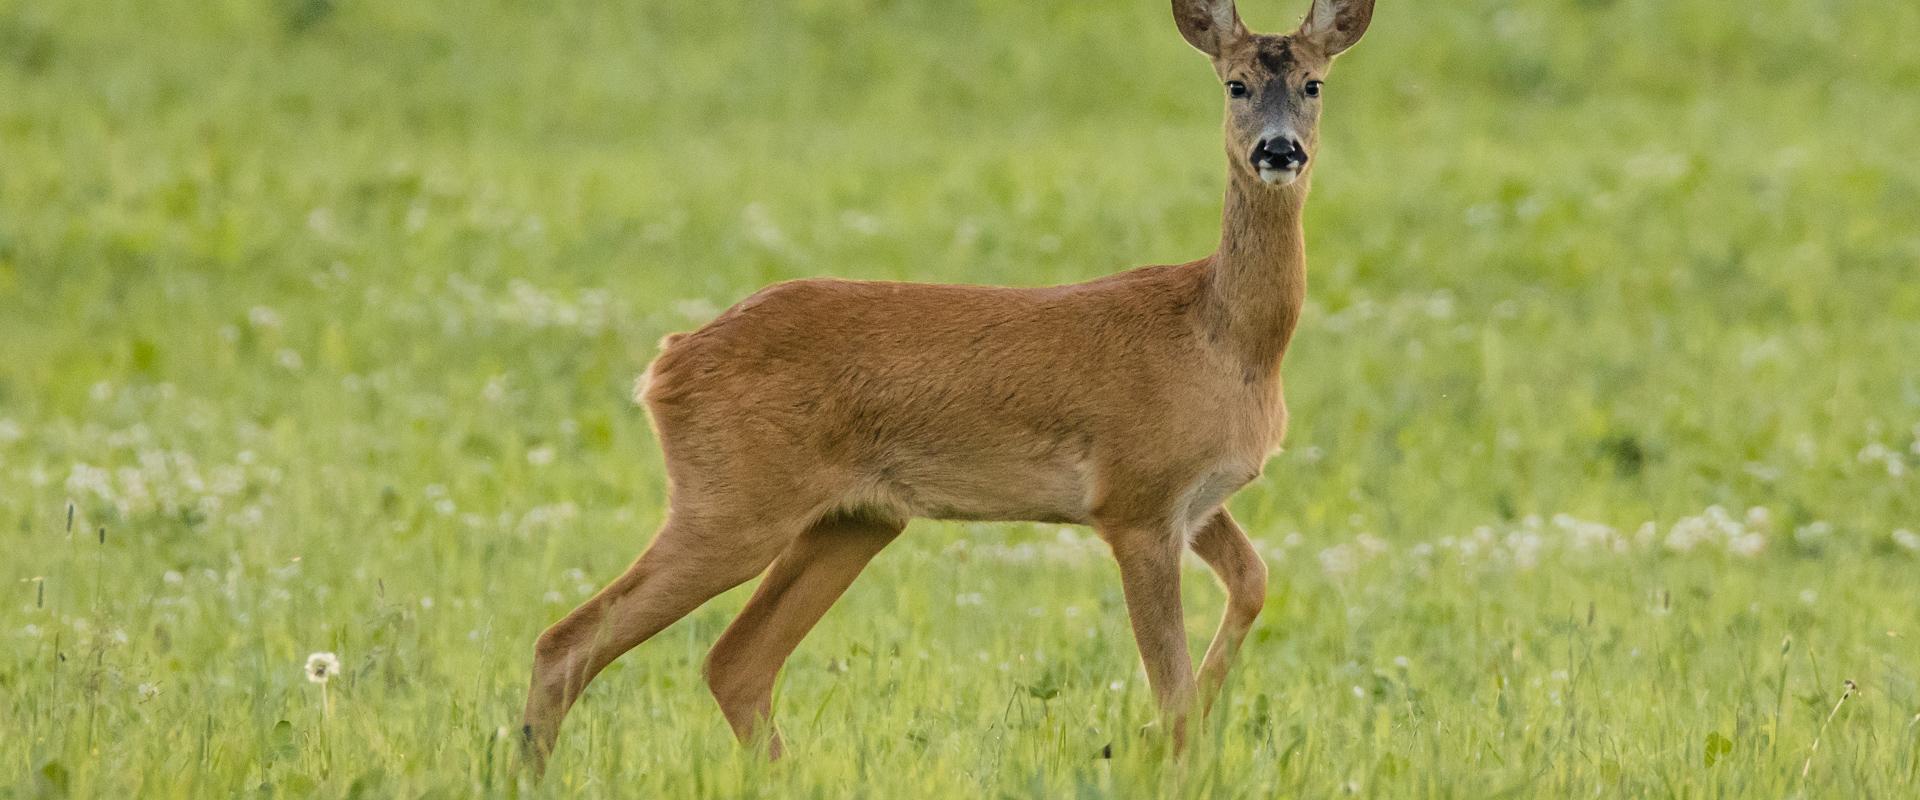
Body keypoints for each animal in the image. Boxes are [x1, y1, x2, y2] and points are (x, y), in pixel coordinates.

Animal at [518, 0, 1374, 767]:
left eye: (1313, 83)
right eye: (1234, 84)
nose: (1277, 151)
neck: (1223, 338)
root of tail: (667, 363)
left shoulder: (1195, 501)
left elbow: (1253, 584)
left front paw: (1141, 738)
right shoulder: (1134, 498)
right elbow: (1172, 683)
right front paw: (1156, 752)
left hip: (854, 519)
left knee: (735, 661)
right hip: (733, 500)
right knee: (569, 639)